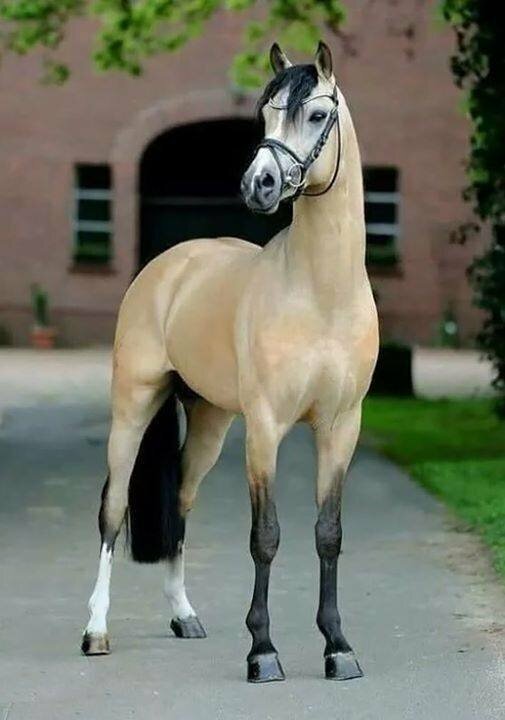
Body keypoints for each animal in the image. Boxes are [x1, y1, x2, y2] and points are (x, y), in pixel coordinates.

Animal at [81, 40, 379, 683]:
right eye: (264, 115)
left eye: (317, 115)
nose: (258, 185)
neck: (321, 292)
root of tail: (169, 265)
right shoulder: (265, 427)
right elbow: (265, 536)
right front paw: (262, 652)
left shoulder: (340, 427)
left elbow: (328, 533)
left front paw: (338, 649)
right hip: (133, 408)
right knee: (112, 510)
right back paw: (95, 632)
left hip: (211, 423)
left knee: (181, 504)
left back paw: (184, 616)